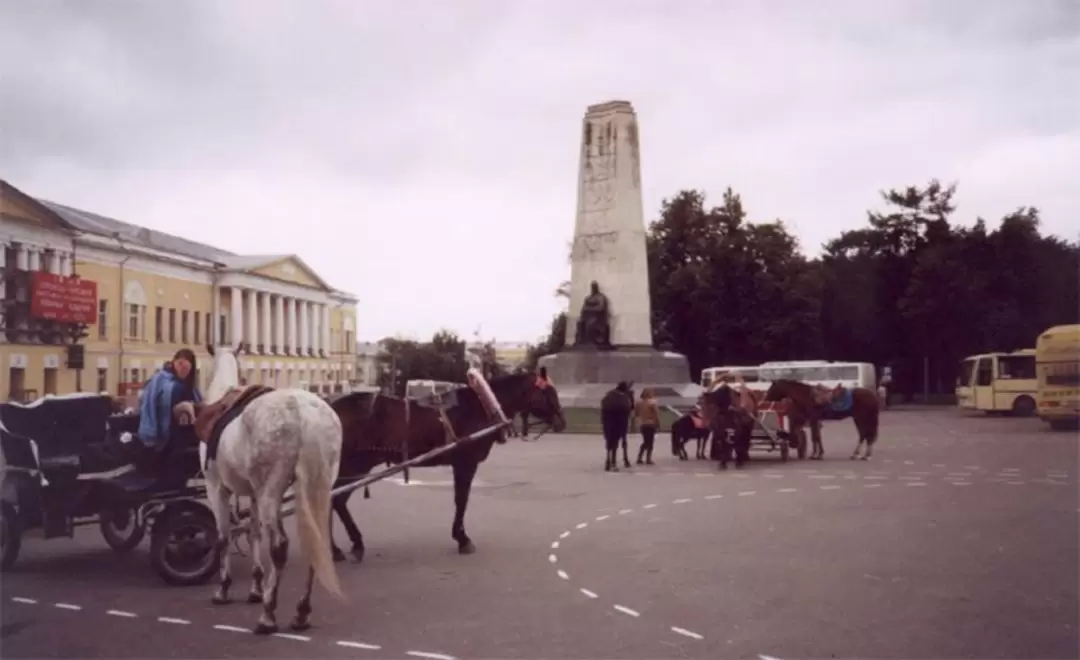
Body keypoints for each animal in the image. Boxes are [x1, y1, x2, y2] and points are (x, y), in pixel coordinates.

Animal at [187, 345, 341, 635]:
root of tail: (305, 415)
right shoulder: (254, 494)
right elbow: (254, 533)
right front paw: (256, 588)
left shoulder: (217, 488)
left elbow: (223, 536)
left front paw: (224, 588)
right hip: (316, 491)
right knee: (315, 543)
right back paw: (301, 612)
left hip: (272, 493)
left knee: (279, 547)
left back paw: (268, 615)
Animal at [326, 371, 565, 561]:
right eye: (548, 392)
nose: (562, 423)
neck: (480, 406)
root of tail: (330, 407)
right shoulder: (465, 463)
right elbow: (461, 500)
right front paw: (463, 539)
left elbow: (460, 500)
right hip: (354, 465)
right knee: (335, 500)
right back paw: (347, 546)